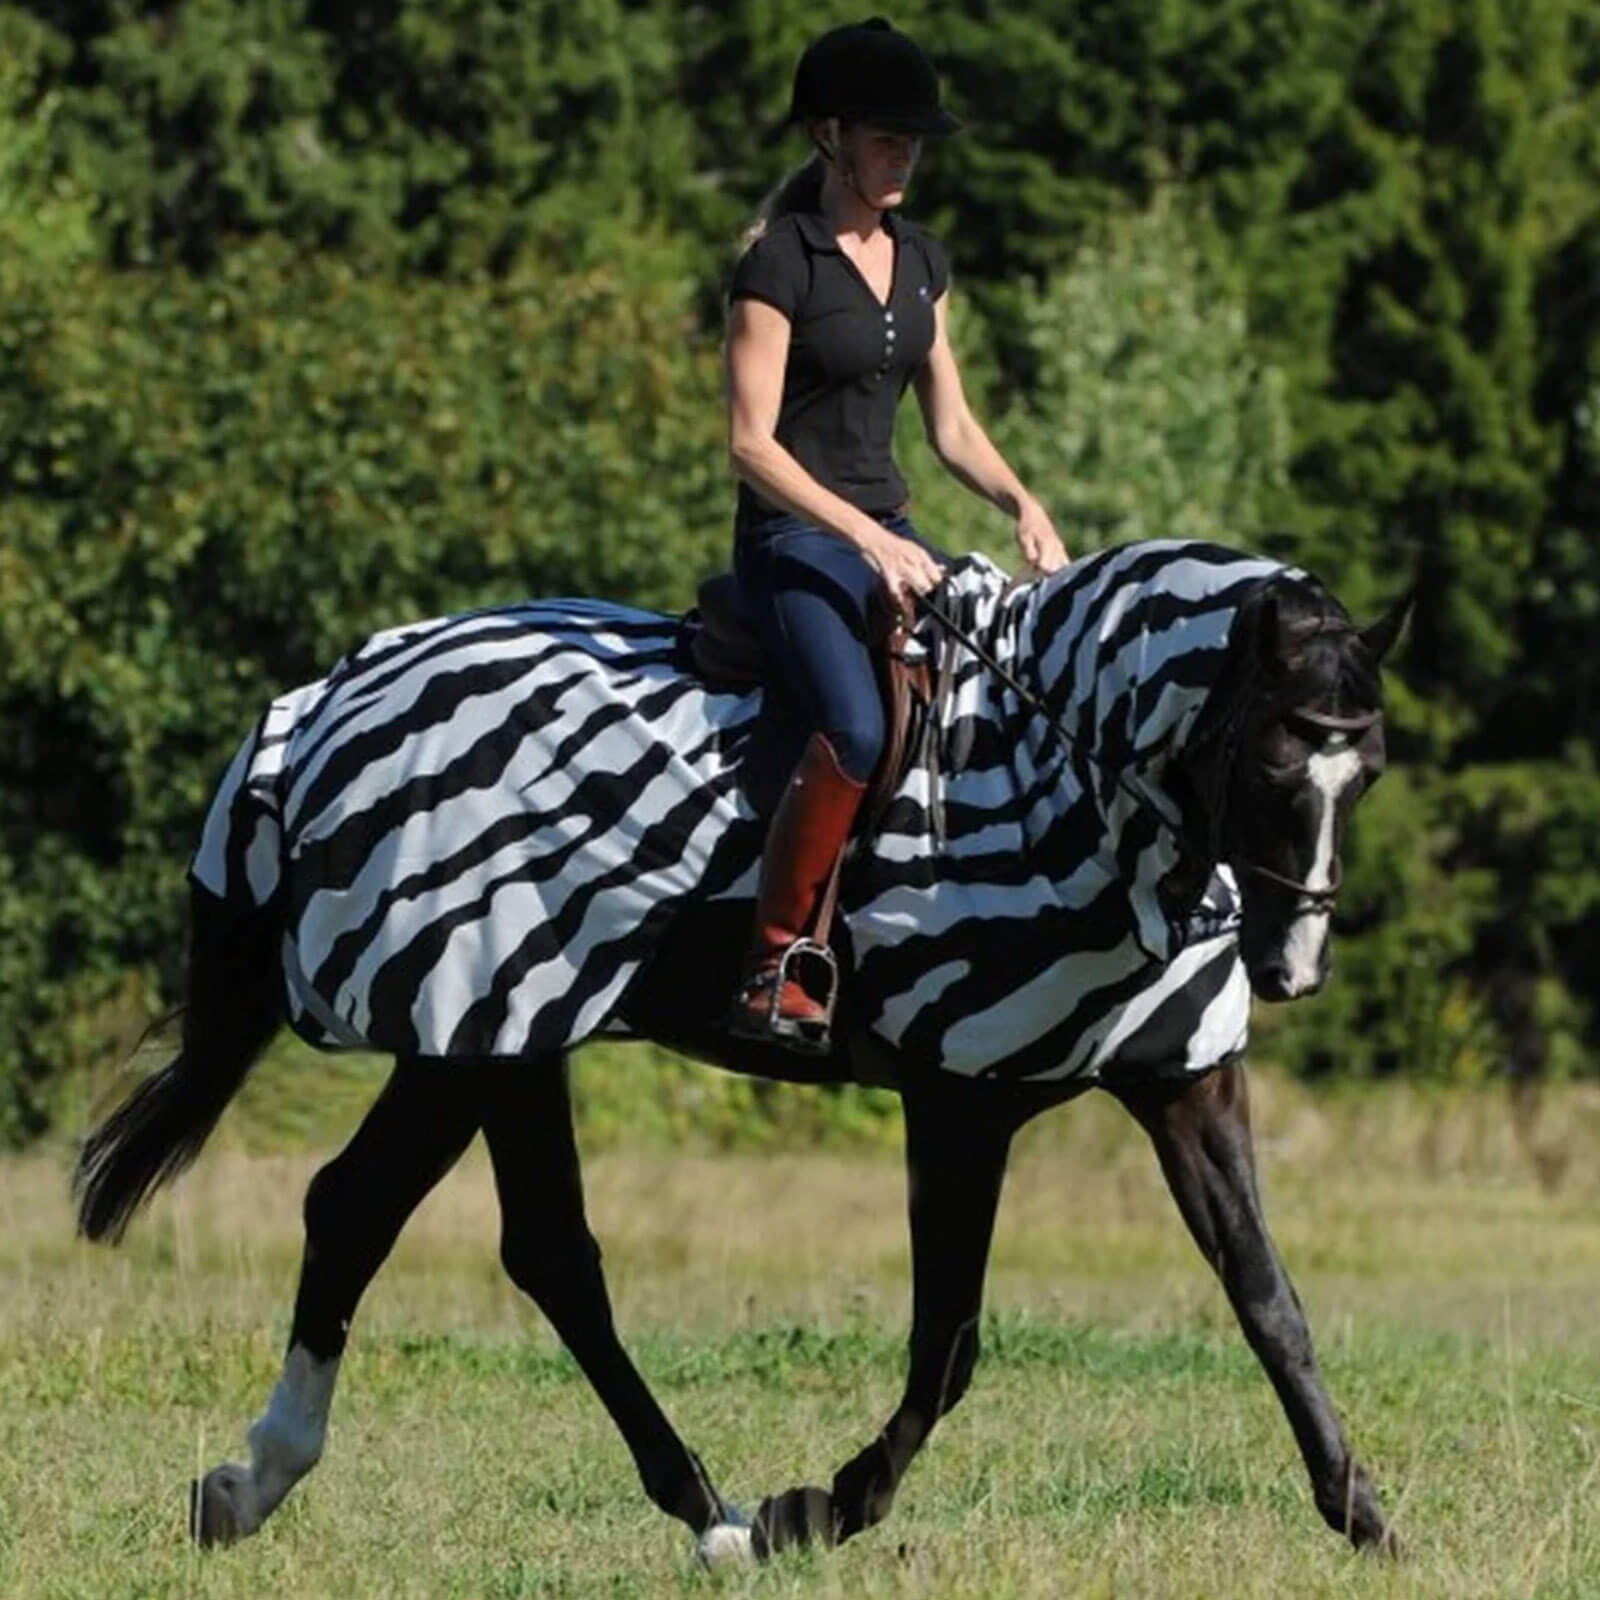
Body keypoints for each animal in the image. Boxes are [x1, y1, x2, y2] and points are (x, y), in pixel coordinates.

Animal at [75, 538, 1409, 1563]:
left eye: (1367, 770)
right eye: (1273, 756)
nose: (1292, 966)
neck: (1063, 781)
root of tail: (320, 707)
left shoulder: (1183, 1081)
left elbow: (1267, 1299)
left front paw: (1365, 1517)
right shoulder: (958, 1100)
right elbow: (949, 1341)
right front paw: (819, 1507)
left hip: (487, 1040)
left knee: (417, 1222)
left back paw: (266, 1484)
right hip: (482, 1030)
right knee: (489, 1240)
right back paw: (706, 1515)